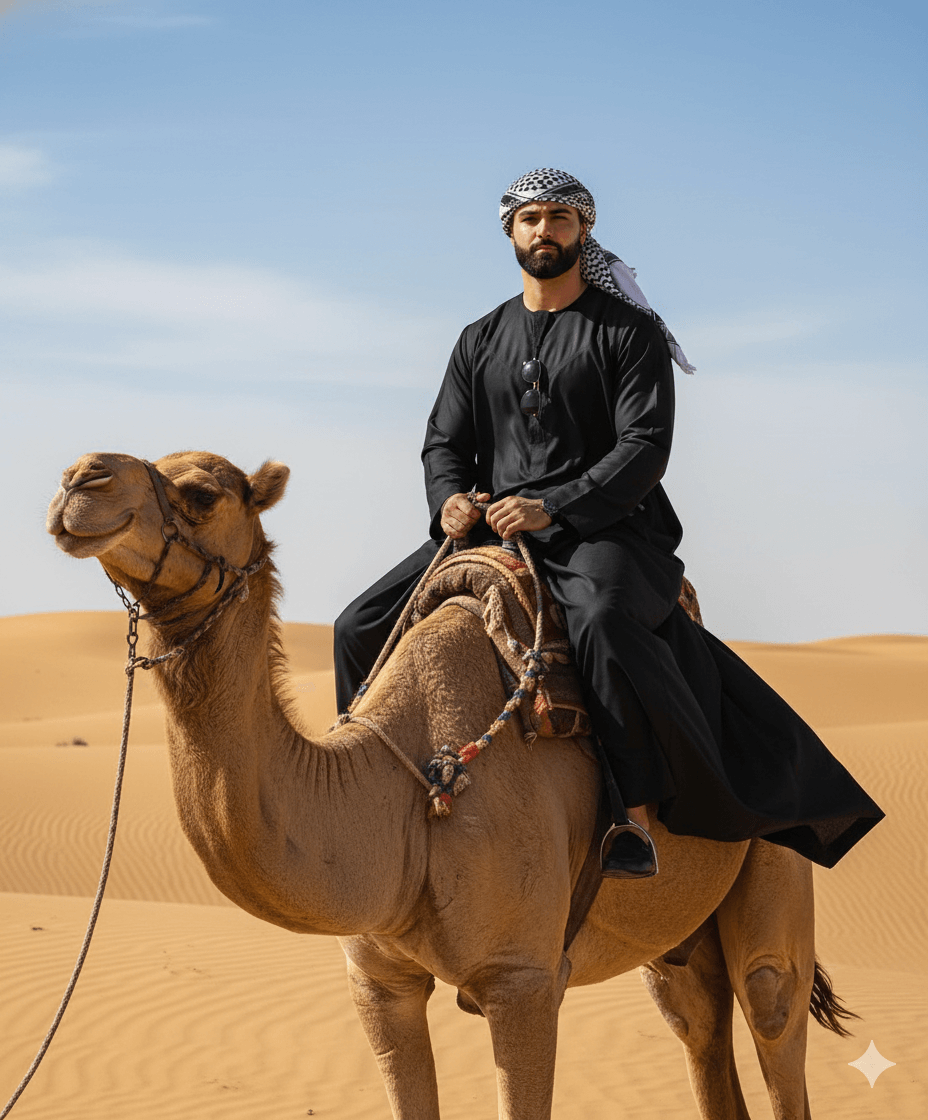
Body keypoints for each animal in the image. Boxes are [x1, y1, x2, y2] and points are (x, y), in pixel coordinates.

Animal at [46, 449, 857, 1120]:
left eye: (200, 492)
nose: (79, 480)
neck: (409, 795)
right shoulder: (379, 983)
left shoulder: (523, 980)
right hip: (678, 948)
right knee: (698, 1021)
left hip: (775, 875)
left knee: (770, 1002)